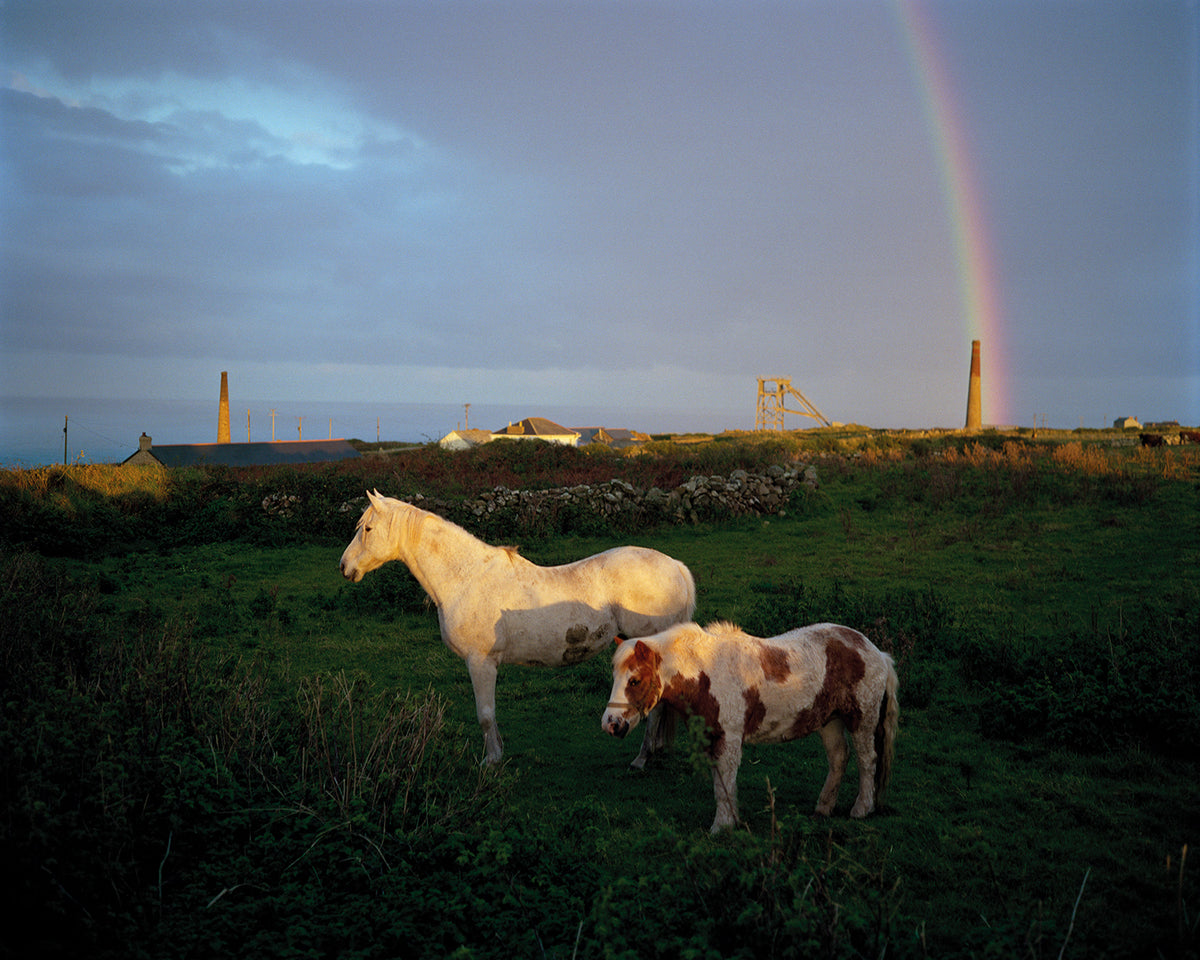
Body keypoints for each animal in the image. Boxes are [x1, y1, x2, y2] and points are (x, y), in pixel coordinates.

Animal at [339, 490, 696, 764]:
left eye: (367, 528)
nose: (345, 567)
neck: (466, 577)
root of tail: (676, 567)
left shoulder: (480, 662)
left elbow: (485, 713)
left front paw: (491, 761)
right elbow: (491, 715)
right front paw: (499, 752)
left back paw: (642, 758)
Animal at [601, 620, 898, 832]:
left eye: (635, 680)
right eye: (615, 676)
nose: (610, 724)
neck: (707, 674)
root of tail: (878, 653)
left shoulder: (729, 738)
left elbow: (725, 781)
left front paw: (721, 826)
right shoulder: (714, 738)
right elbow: (721, 783)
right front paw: (731, 821)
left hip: (862, 719)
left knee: (867, 760)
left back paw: (861, 809)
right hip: (830, 721)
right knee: (839, 758)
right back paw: (822, 809)